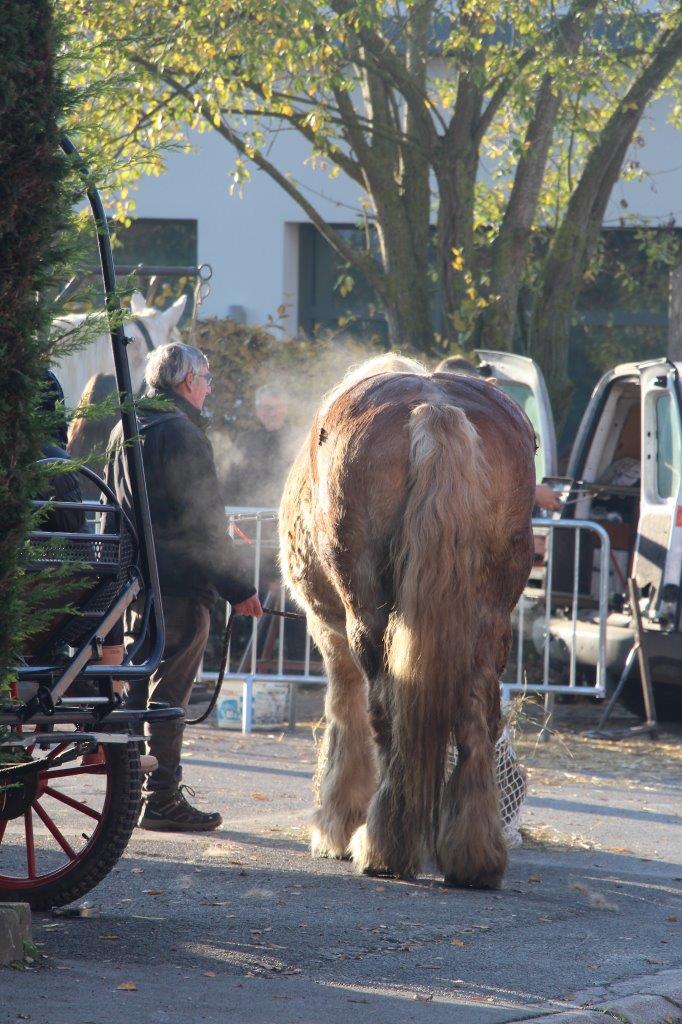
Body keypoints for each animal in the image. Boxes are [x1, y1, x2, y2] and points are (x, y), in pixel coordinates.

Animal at [278, 354, 536, 888]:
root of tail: (436, 411)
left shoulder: (328, 632)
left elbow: (345, 713)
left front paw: (337, 824)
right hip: (490, 620)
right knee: (478, 713)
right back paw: (474, 854)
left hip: (365, 616)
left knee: (382, 712)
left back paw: (381, 844)